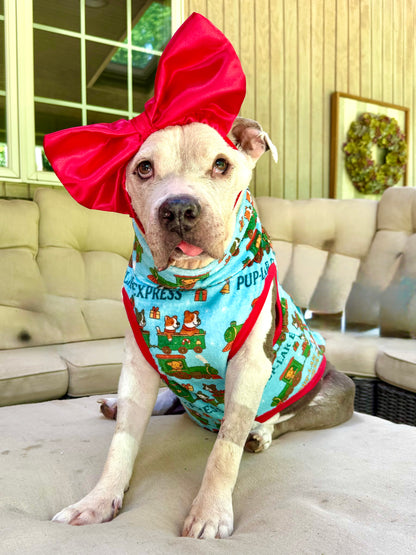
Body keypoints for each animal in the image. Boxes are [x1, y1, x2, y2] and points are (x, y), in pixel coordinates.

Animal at [51, 116, 355, 538]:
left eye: (221, 164)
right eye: (144, 168)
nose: (178, 208)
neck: (190, 285)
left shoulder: (250, 367)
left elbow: (226, 447)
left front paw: (210, 513)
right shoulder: (138, 363)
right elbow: (121, 441)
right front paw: (96, 502)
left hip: (339, 389)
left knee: (288, 418)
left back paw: (260, 433)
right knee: (170, 401)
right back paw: (123, 405)